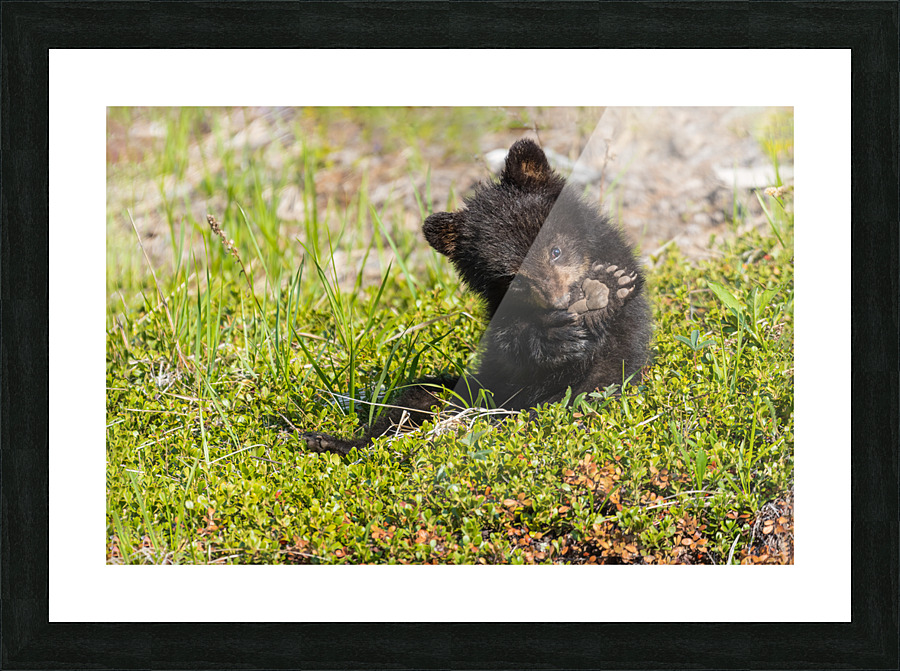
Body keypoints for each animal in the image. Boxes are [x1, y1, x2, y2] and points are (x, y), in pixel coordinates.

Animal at [302, 138, 651, 455]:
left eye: (555, 250)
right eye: (512, 279)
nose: (561, 303)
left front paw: (601, 293)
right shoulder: (502, 319)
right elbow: (512, 346)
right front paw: (557, 333)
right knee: (415, 399)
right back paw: (331, 441)